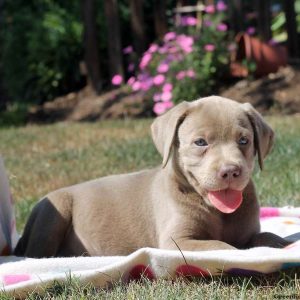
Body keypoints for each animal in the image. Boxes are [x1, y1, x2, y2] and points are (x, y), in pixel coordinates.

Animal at [14, 96, 290, 258]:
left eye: (244, 141)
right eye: (200, 142)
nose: (230, 171)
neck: (218, 211)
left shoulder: (249, 233)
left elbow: (267, 237)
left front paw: (285, 246)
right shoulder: (177, 240)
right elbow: (224, 247)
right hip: (53, 212)